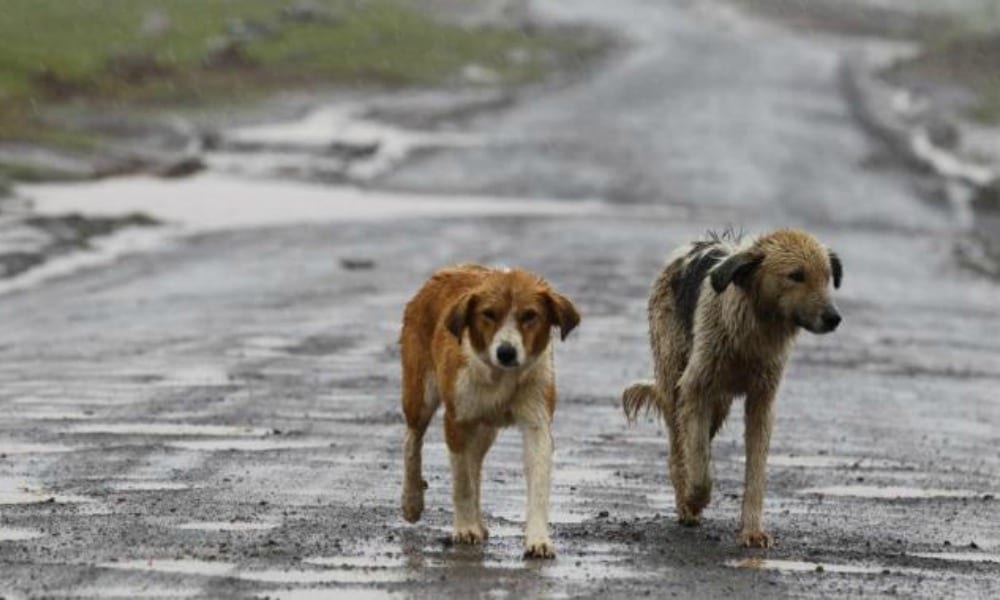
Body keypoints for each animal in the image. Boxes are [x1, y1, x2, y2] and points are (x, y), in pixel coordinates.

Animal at [402, 264, 584, 560]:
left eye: (529, 315)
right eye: (488, 314)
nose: (506, 352)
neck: (501, 377)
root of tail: (447, 269)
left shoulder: (537, 422)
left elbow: (537, 483)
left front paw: (538, 539)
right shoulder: (456, 420)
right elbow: (462, 482)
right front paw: (465, 528)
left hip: (485, 429)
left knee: (475, 463)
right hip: (421, 395)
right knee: (412, 441)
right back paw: (411, 501)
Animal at [624, 230, 844, 548]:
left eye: (827, 277)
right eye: (796, 276)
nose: (833, 318)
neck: (755, 329)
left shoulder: (762, 401)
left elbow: (756, 472)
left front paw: (752, 530)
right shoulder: (694, 389)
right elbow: (698, 464)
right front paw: (695, 498)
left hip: (720, 404)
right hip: (675, 380)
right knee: (678, 450)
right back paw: (685, 504)